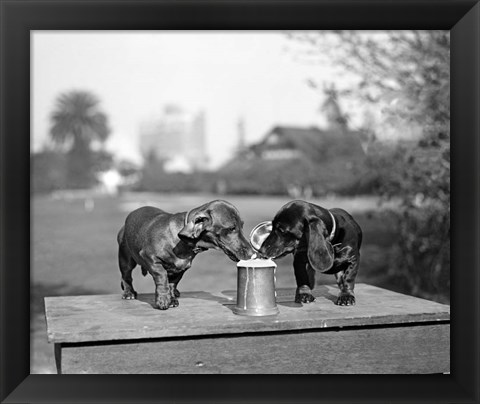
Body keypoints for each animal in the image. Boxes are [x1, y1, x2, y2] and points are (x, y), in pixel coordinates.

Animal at [116, 199, 253, 310]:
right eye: (231, 228)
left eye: (241, 226)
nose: (252, 253)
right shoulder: (150, 257)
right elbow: (162, 276)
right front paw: (163, 299)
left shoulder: (181, 268)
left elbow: (172, 284)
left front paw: (171, 298)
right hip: (126, 259)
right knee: (126, 277)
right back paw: (129, 293)